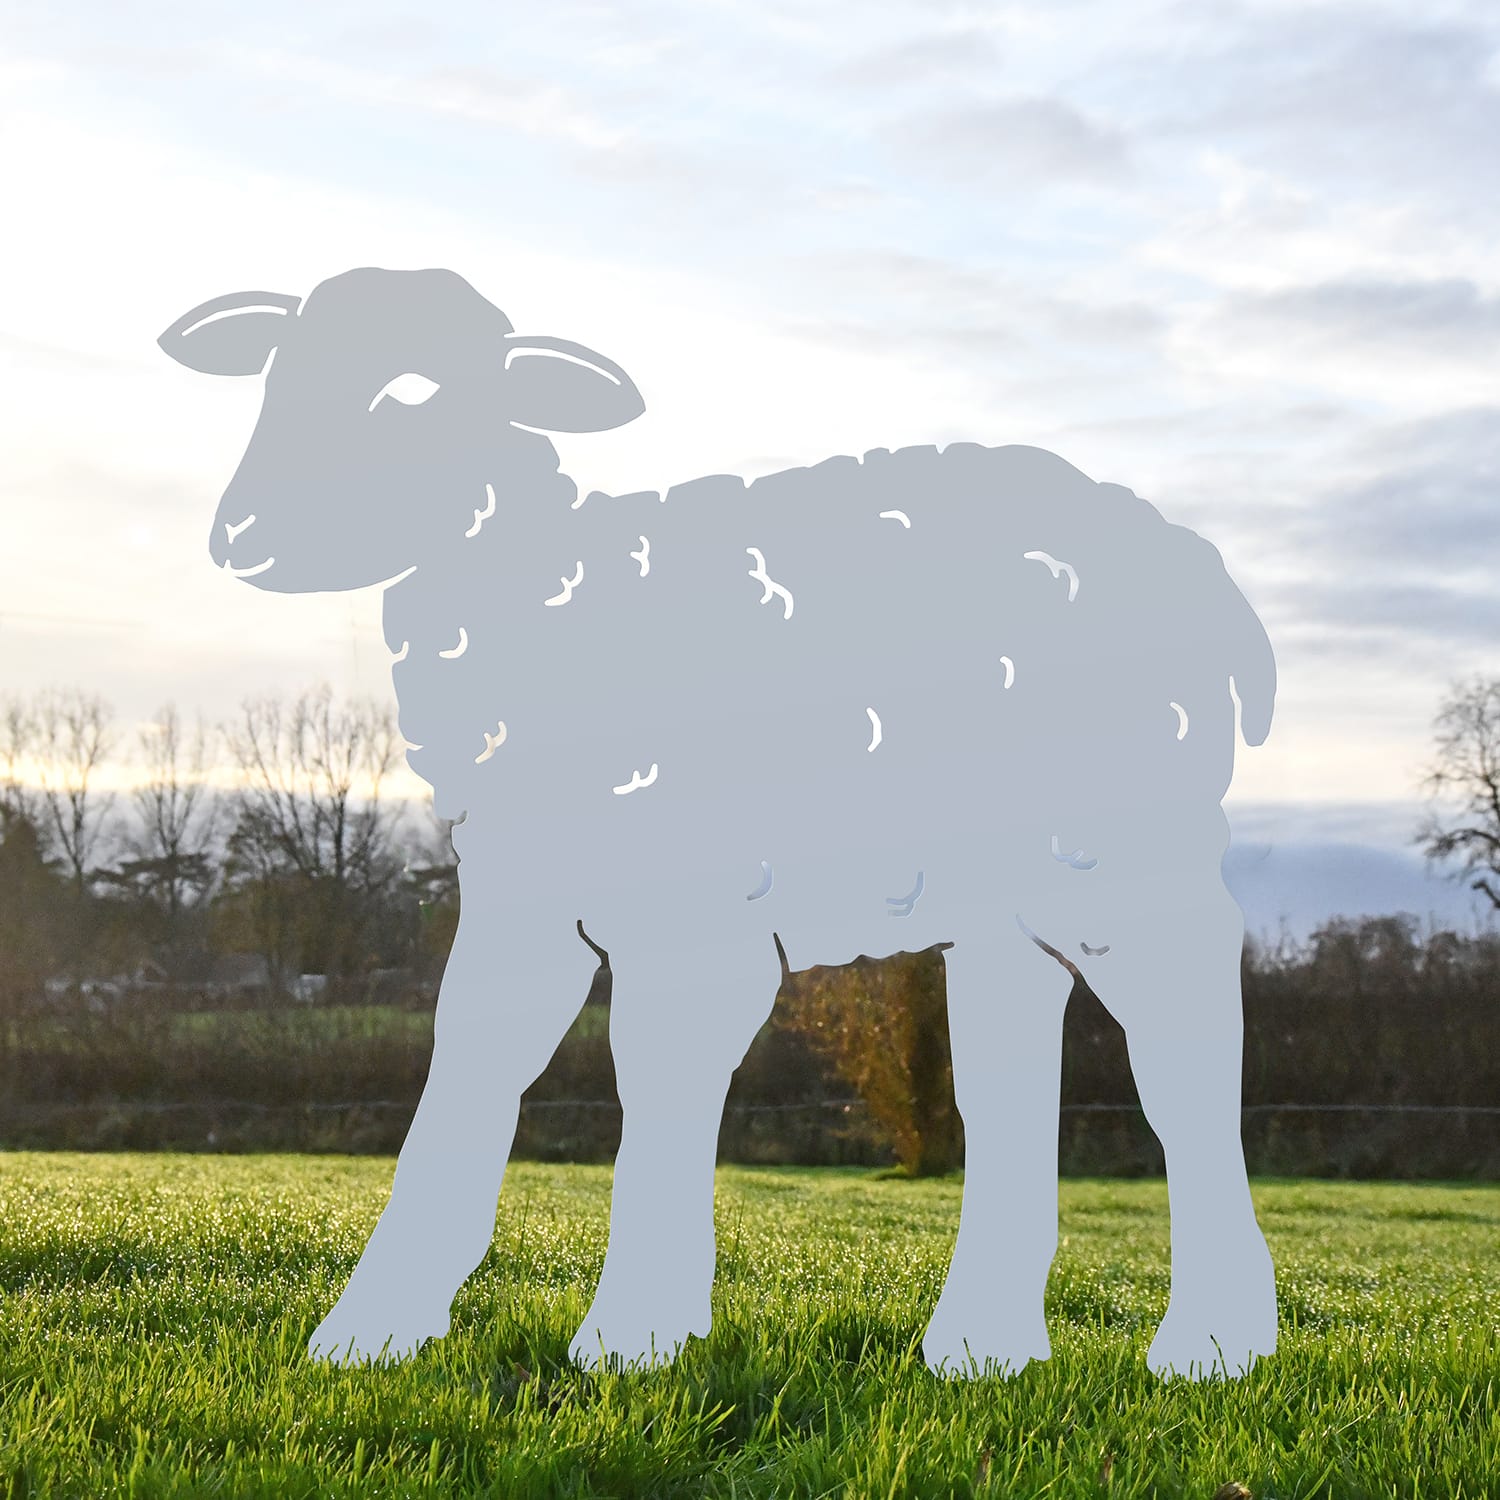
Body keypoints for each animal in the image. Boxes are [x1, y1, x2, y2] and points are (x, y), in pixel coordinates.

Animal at [158, 266, 1279, 1381]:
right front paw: (372, 1332)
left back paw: (1213, 1342)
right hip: (1012, 890)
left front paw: (631, 1335)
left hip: (1128, 841)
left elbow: (657, 1076)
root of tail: (1201, 565)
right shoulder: (524, 892)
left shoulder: (690, 900)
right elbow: (471, 1070)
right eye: (273, 377)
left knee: (1184, 1048)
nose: (241, 534)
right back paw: (983, 1349)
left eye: (415, 392)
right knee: (1010, 1068)